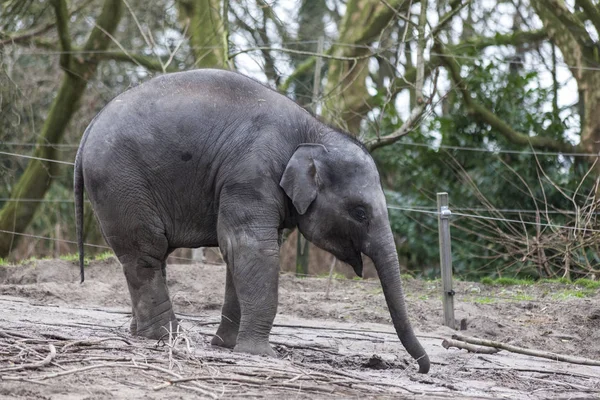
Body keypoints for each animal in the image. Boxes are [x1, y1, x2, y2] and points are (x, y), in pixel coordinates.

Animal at [74, 69, 432, 376]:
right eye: (360, 212)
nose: (422, 368)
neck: (312, 130)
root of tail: (88, 129)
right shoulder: (250, 175)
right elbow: (252, 248)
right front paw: (262, 354)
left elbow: (240, 254)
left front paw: (227, 346)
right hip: (122, 183)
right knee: (146, 252)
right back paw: (166, 336)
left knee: (150, 256)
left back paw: (141, 333)